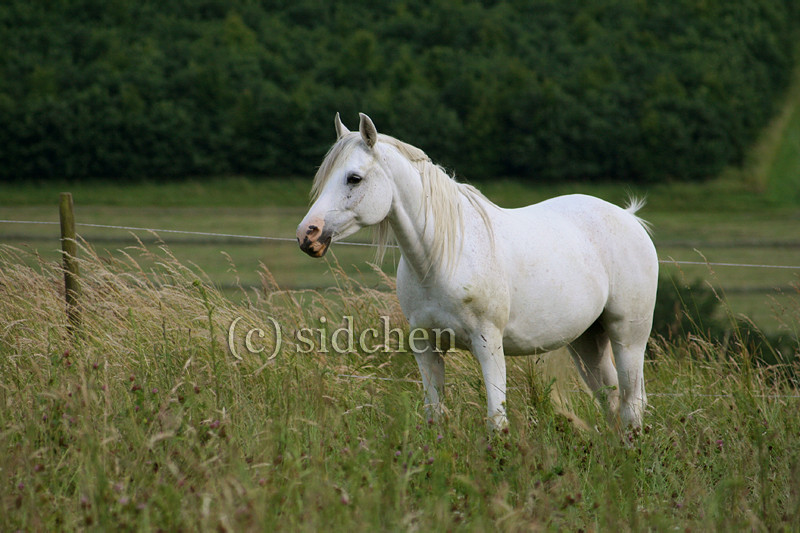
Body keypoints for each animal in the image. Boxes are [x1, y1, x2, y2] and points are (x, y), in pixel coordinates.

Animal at [296, 114, 660, 430]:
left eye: (354, 178)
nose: (307, 235)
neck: (443, 257)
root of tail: (629, 218)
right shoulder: (425, 347)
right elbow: (434, 415)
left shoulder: (488, 345)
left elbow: (496, 421)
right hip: (587, 341)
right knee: (611, 399)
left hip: (628, 336)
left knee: (632, 403)